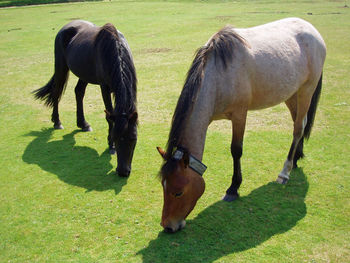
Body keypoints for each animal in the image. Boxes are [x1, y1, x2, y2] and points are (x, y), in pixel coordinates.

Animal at [33, 20, 138, 177]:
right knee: (57, 92)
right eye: (115, 137)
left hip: (83, 74)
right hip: (61, 66)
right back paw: (57, 122)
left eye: (133, 138)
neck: (115, 51)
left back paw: (83, 124)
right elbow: (109, 116)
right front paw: (111, 146)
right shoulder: (104, 88)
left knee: (79, 92)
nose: (122, 171)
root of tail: (66, 27)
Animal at [156, 17, 326, 233]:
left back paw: (285, 171)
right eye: (163, 186)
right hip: (291, 94)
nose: (168, 226)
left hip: (306, 90)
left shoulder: (239, 115)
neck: (218, 75)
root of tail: (311, 29)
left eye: (178, 192)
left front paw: (233, 189)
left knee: (297, 129)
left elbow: (236, 150)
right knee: (301, 123)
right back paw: (296, 158)